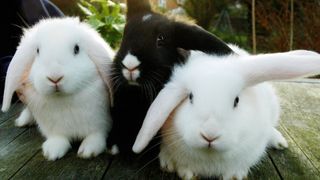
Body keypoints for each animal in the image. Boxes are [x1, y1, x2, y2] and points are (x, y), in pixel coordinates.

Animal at [1, 16, 115, 160]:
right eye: (37, 51)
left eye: (77, 49)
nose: (54, 77)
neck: (63, 100)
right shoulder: (53, 129)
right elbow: (58, 138)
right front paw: (51, 152)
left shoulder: (100, 123)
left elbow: (96, 135)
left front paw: (88, 151)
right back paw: (22, 121)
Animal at [132, 45, 320, 179]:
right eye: (190, 97)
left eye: (236, 100)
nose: (210, 135)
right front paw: (185, 172)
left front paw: (235, 175)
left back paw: (279, 142)